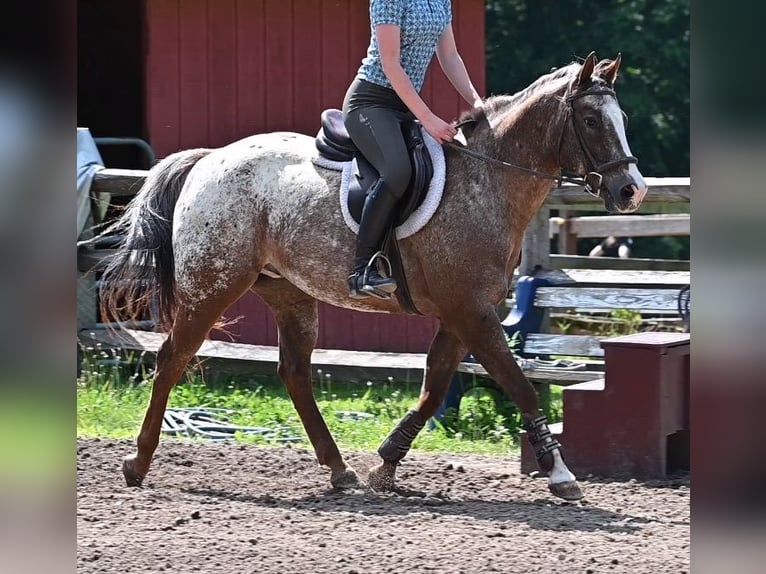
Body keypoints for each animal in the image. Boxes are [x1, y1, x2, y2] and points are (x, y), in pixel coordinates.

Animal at [99, 52, 646, 501]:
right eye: (591, 120)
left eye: (622, 120)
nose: (631, 191)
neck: (488, 180)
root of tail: (208, 159)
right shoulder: (471, 313)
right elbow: (519, 384)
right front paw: (561, 475)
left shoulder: (462, 315)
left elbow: (433, 389)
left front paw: (385, 463)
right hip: (212, 285)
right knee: (173, 357)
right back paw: (137, 463)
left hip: (289, 293)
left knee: (293, 372)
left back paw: (340, 471)